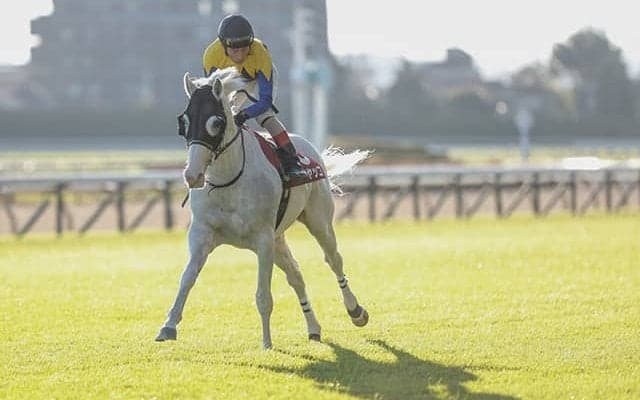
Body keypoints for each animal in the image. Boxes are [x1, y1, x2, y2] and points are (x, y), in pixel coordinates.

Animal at [155, 67, 371, 349]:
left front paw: (267, 343)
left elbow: (263, 295)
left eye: (216, 123)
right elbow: (186, 279)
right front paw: (168, 326)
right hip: (279, 239)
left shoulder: (263, 239)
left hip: (318, 221)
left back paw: (356, 311)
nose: (192, 176)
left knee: (333, 259)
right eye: (184, 123)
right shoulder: (202, 234)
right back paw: (313, 328)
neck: (229, 180)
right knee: (296, 275)